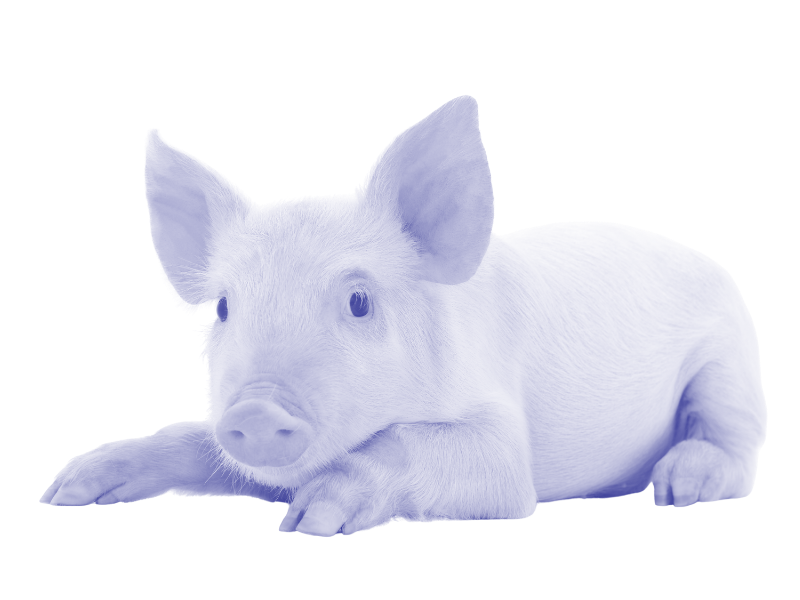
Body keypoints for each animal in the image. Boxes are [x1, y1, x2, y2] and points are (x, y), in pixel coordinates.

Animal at [41, 96, 767, 535]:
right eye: (222, 308)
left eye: (359, 302)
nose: (256, 409)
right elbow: (189, 438)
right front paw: (62, 491)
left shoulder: (504, 448)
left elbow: (423, 447)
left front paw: (309, 518)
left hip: (729, 361)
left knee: (730, 442)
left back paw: (679, 485)